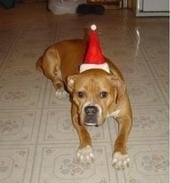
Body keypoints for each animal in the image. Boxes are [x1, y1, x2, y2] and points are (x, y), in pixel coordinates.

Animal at [36, 27, 133, 169]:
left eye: (104, 94)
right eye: (80, 94)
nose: (90, 110)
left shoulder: (126, 117)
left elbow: (121, 137)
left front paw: (120, 155)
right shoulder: (76, 115)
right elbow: (84, 133)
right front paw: (85, 151)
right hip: (51, 61)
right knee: (55, 80)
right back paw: (60, 89)